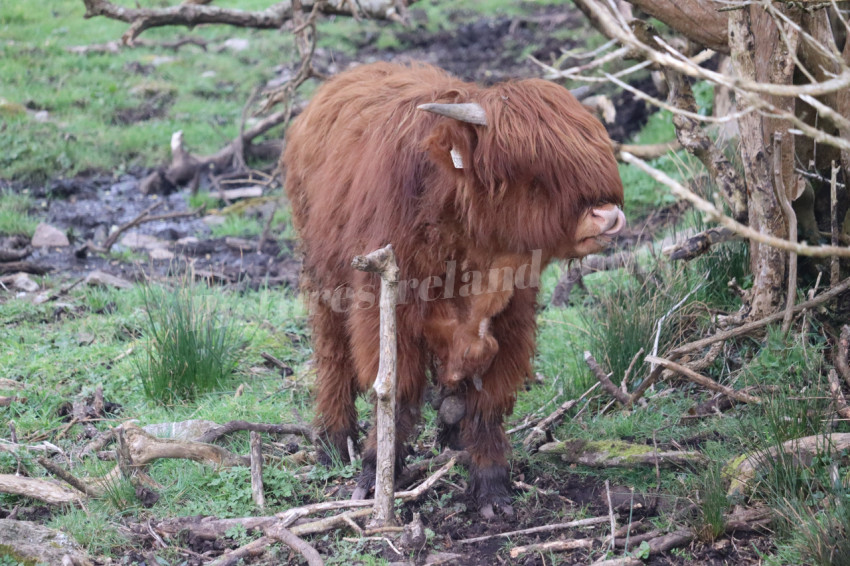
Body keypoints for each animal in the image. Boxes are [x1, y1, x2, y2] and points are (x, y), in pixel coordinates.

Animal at [281, 61, 624, 518]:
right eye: (531, 172)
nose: (608, 216)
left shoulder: (512, 318)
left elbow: (488, 402)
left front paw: (492, 486)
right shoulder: (384, 308)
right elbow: (394, 393)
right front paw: (375, 473)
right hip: (324, 278)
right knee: (332, 353)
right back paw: (336, 441)